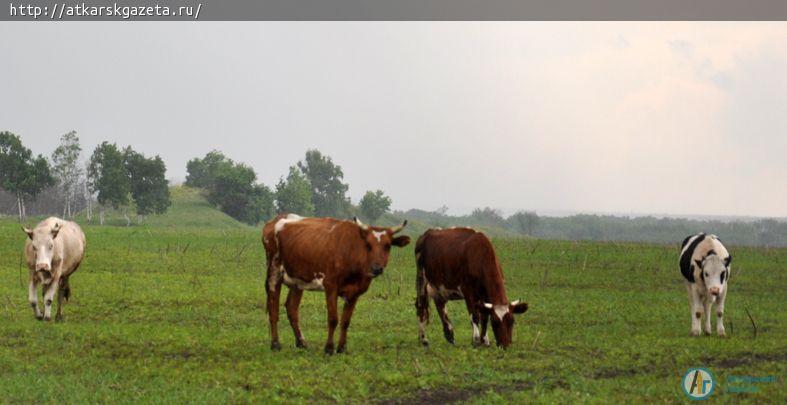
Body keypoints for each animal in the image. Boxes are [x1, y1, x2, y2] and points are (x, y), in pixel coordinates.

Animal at [264, 213, 412, 352]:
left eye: (387, 246)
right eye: (368, 245)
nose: (376, 268)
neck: (352, 253)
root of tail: (276, 219)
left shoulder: (355, 292)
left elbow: (345, 321)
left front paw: (342, 348)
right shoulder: (330, 286)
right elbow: (333, 319)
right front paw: (329, 348)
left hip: (297, 281)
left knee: (292, 308)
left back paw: (301, 342)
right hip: (274, 273)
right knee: (273, 309)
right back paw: (275, 344)